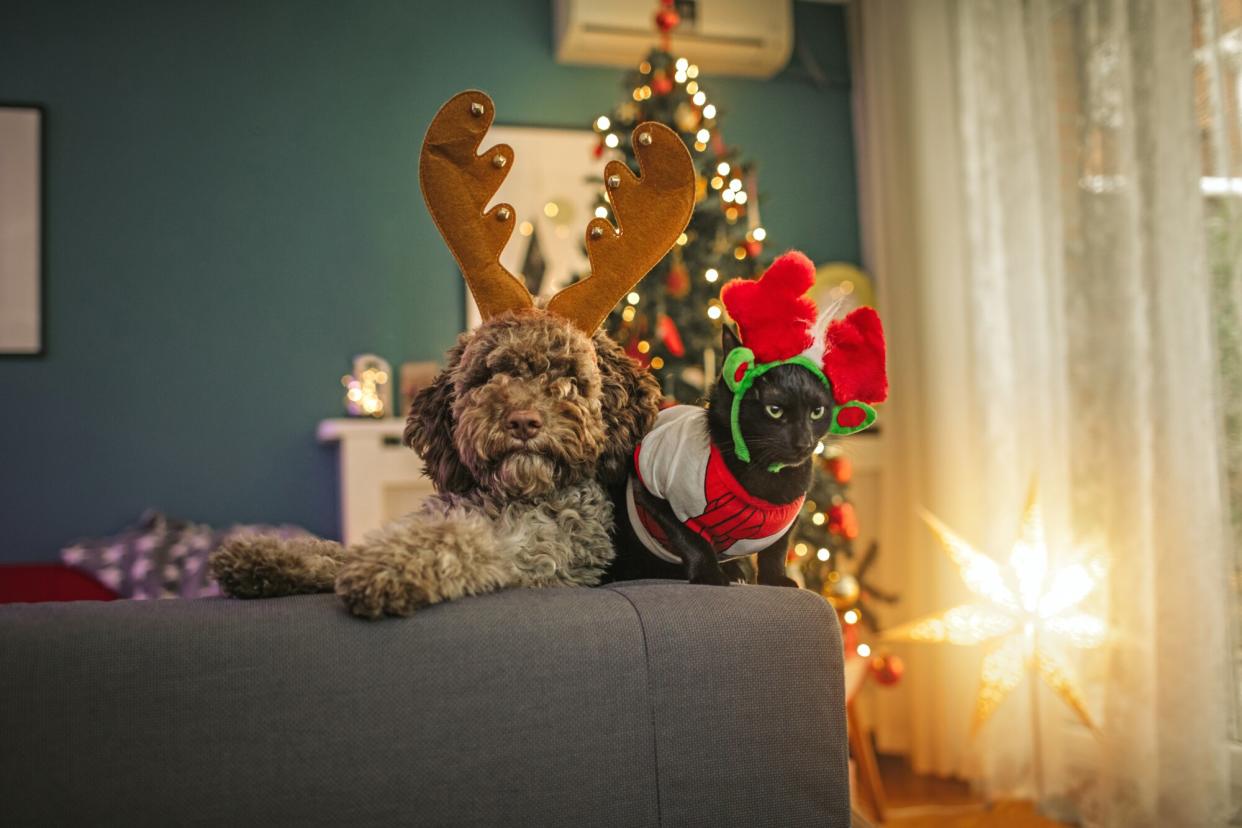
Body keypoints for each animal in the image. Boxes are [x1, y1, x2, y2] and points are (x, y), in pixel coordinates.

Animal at [211, 307, 660, 618]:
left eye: (568, 376)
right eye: (488, 376)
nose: (522, 421)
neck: (506, 498)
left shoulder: (535, 558)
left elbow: (454, 542)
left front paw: (385, 569)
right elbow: (341, 551)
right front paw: (265, 558)